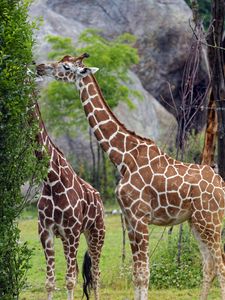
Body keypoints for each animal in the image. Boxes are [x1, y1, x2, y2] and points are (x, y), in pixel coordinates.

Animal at [33, 101, 104, 300]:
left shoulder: (73, 233)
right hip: (68, 239)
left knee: (96, 273)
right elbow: (50, 282)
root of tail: (99, 197)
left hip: (96, 233)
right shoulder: (46, 232)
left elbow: (70, 280)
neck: (51, 180)